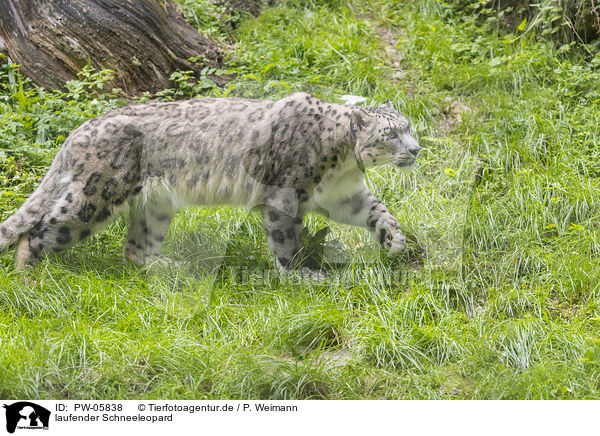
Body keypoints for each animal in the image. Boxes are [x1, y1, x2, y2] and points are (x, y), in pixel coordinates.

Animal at [0, 92, 420, 276]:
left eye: (409, 126)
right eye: (391, 134)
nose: (416, 149)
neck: (344, 166)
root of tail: (79, 130)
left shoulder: (342, 196)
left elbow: (379, 209)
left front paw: (394, 241)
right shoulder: (285, 197)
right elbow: (286, 241)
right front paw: (300, 274)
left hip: (154, 205)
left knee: (135, 248)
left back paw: (171, 267)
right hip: (94, 198)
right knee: (39, 231)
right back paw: (27, 277)